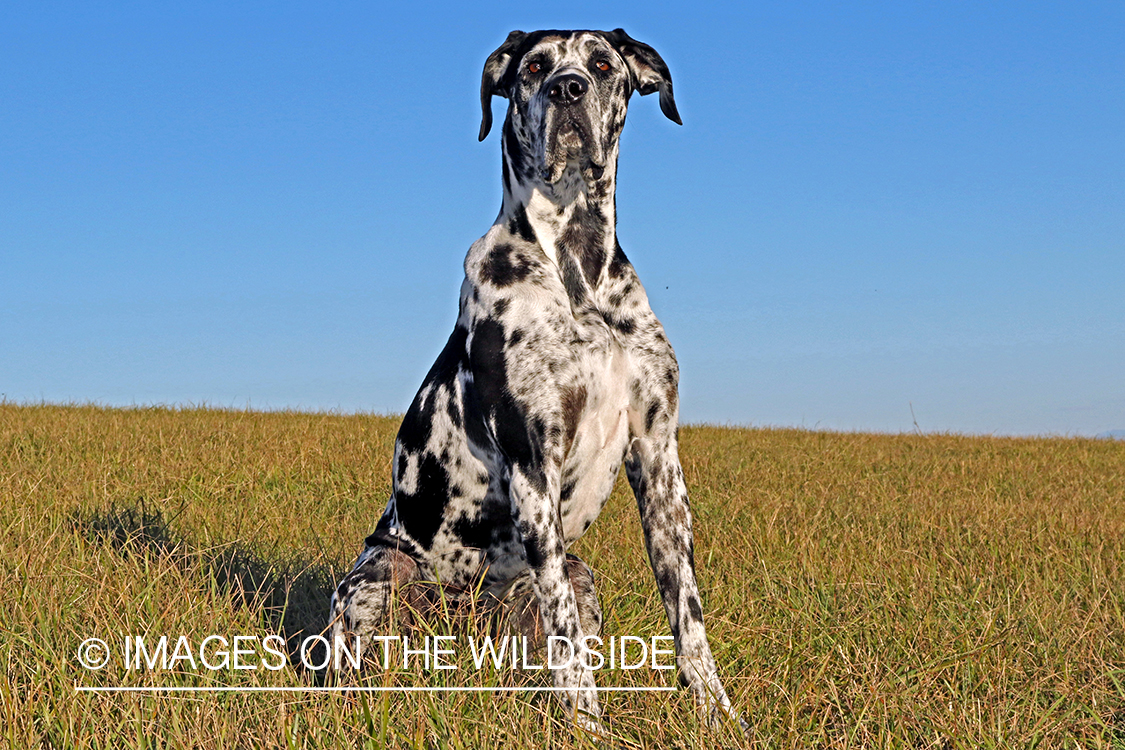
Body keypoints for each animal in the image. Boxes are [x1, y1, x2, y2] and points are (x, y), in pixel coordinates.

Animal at [328, 27, 742, 733]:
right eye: (533, 68)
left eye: (602, 64)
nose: (567, 89)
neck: (577, 266)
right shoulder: (532, 457)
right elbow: (568, 644)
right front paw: (591, 730)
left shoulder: (659, 456)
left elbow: (687, 615)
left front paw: (719, 716)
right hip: (381, 576)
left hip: (582, 573)